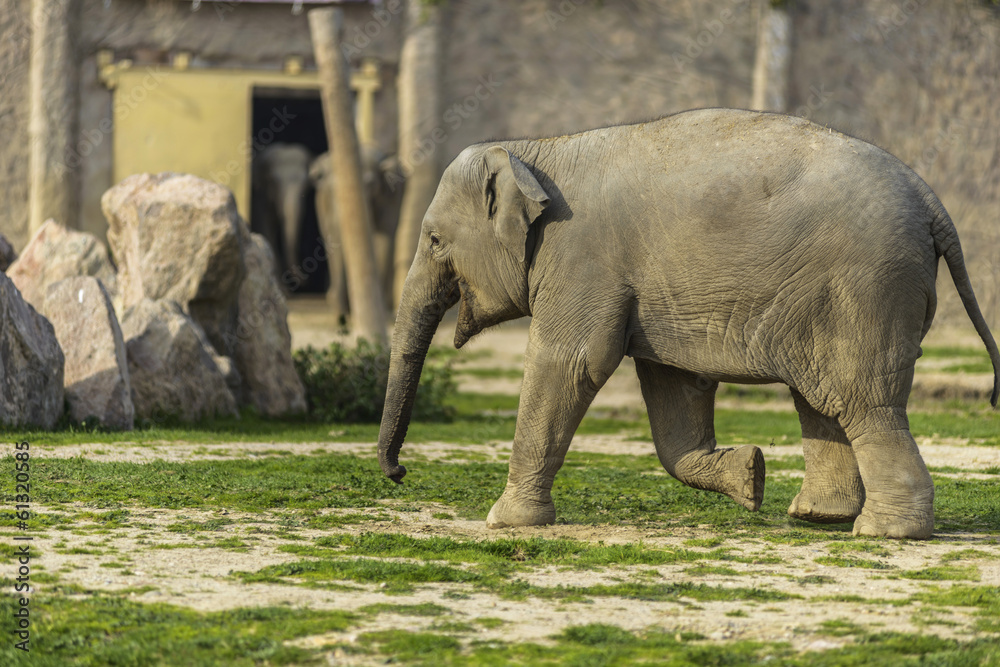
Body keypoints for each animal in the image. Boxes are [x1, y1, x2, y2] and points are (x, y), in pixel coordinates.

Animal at [376, 107, 1000, 540]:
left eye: (434, 240)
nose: (399, 473)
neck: (539, 149)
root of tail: (931, 203)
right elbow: (673, 389)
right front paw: (749, 475)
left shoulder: (581, 258)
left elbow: (572, 364)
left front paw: (505, 522)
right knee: (822, 399)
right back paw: (816, 517)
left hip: (866, 291)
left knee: (862, 401)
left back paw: (883, 532)